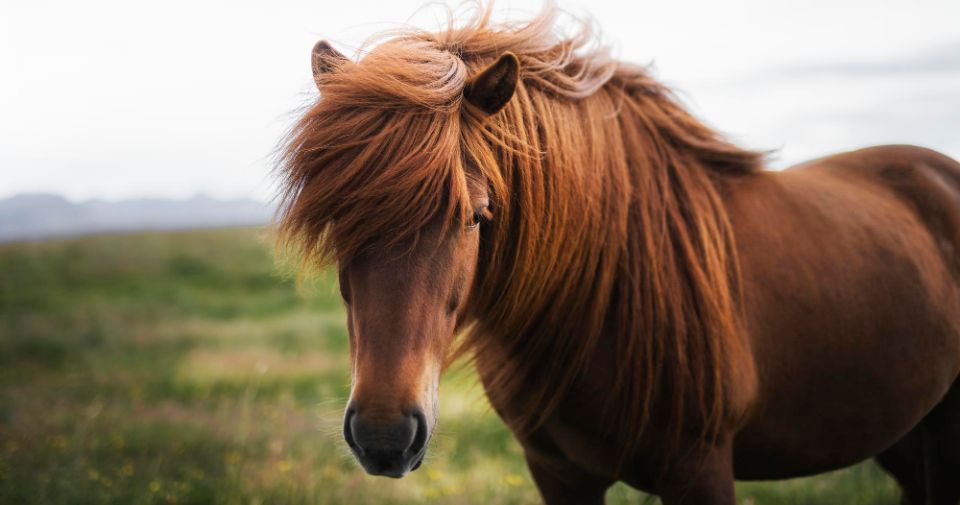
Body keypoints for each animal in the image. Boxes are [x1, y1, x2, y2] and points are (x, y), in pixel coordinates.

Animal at [274, 4, 960, 504]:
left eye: (476, 216)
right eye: (337, 219)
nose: (385, 436)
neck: (599, 300)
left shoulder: (700, 469)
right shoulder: (558, 473)